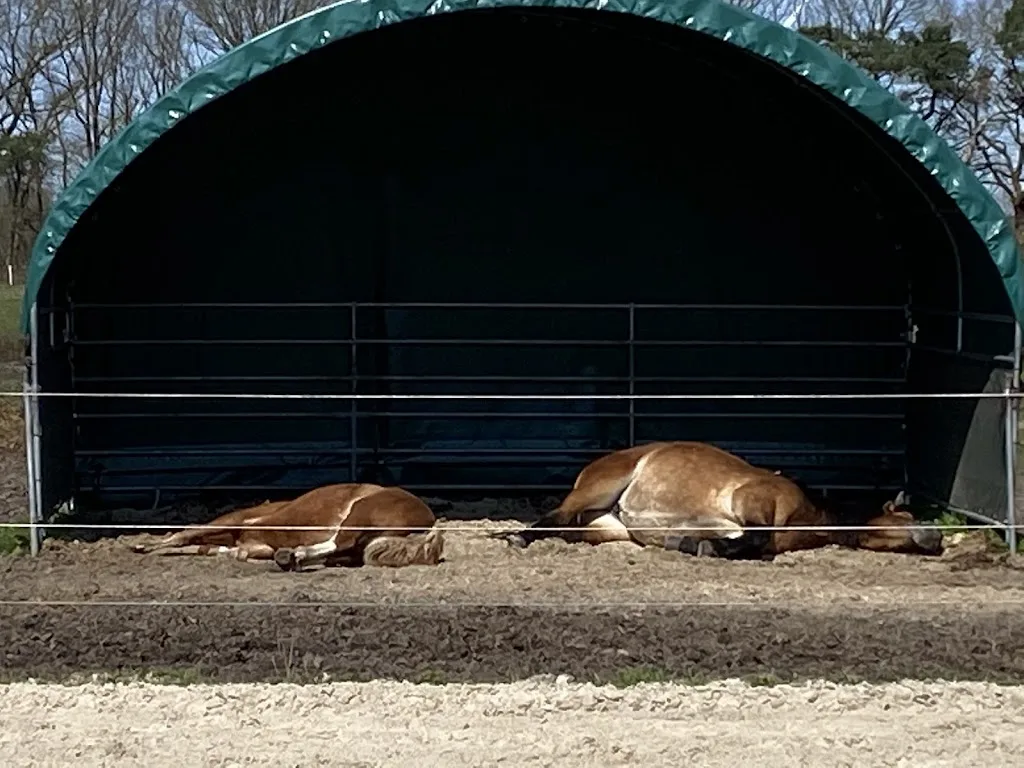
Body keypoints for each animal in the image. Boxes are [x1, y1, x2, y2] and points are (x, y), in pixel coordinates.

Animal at [132, 483, 445, 571]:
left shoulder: (236, 520)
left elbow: (186, 534)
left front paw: (142, 545)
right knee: (340, 551)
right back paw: (292, 557)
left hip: (359, 514)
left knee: (339, 542)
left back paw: (294, 556)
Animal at [499, 441, 944, 558]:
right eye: (907, 513)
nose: (937, 536)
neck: (809, 512)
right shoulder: (754, 502)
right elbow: (755, 538)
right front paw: (702, 546)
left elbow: (746, 544)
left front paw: (688, 542)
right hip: (597, 489)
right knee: (554, 515)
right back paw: (516, 536)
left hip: (607, 528)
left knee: (561, 524)